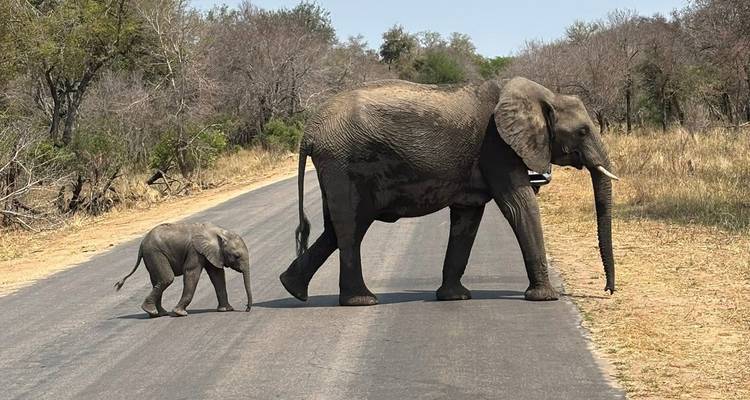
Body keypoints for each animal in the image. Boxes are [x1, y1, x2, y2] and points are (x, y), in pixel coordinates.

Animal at [114, 222, 252, 317]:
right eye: (237, 256)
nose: (246, 309)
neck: (218, 233)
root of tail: (142, 244)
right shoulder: (195, 251)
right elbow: (191, 273)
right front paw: (179, 313)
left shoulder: (213, 253)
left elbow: (217, 275)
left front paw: (226, 310)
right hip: (154, 253)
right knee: (167, 278)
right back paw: (152, 311)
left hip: (151, 255)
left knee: (157, 281)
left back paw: (158, 313)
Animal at [279, 77, 618, 306]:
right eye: (583, 131)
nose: (608, 291)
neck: (542, 95)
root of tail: (309, 132)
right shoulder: (497, 146)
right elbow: (518, 206)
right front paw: (545, 298)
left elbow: (468, 218)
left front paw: (455, 298)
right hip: (344, 165)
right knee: (350, 227)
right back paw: (361, 301)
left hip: (338, 168)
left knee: (337, 229)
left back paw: (292, 289)